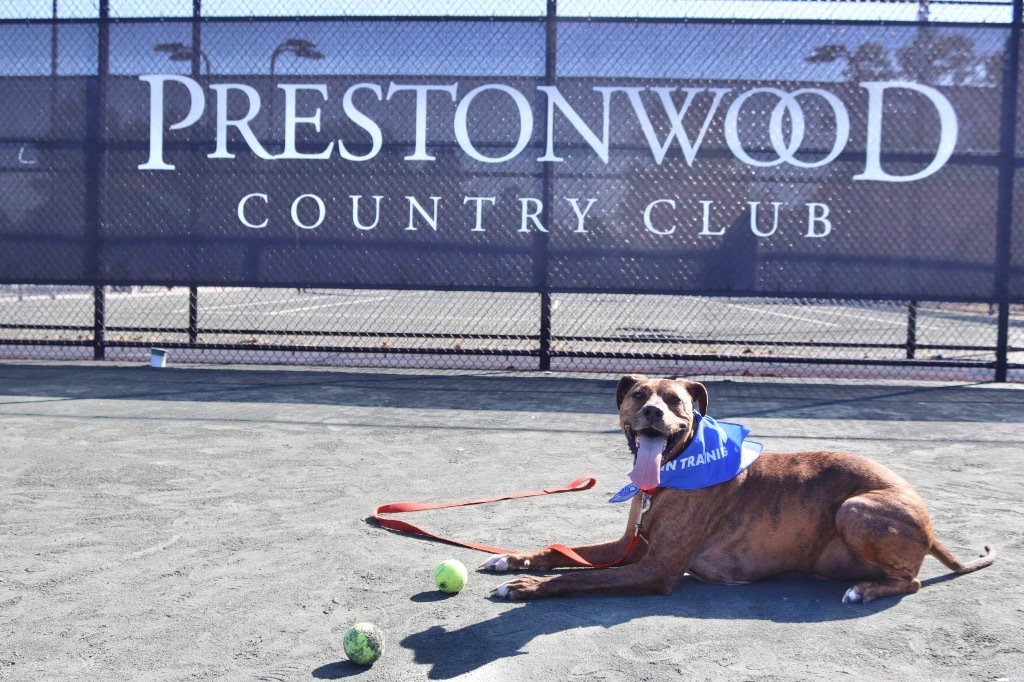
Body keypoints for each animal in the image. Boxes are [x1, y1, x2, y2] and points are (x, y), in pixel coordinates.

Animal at [483, 372, 995, 602]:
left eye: (676, 401)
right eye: (638, 395)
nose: (653, 413)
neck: (672, 472)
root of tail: (929, 524)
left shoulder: (656, 567)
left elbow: (578, 576)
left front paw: (527, 585)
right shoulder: (630, 544)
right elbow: (562, 551)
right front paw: (513, 560)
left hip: (855, 508)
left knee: (911, 581)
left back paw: (866, 590)